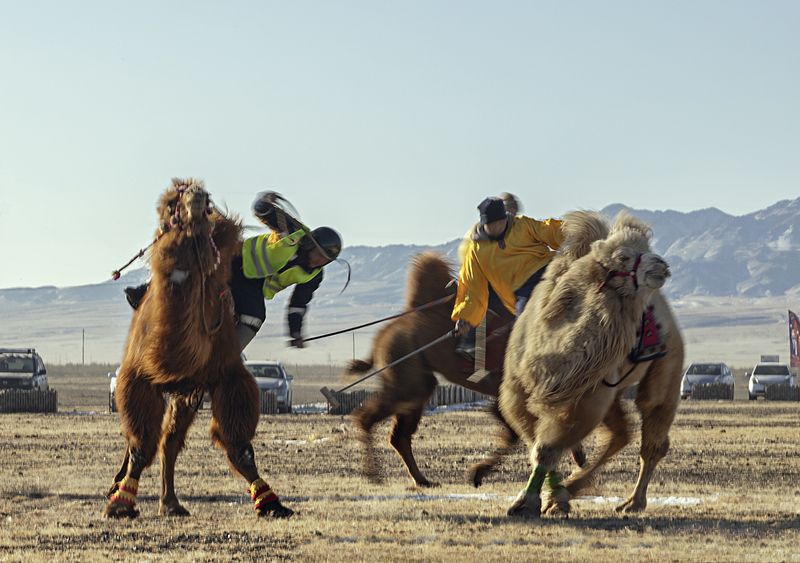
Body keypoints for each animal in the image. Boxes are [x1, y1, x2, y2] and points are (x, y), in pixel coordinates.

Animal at [104, 178, 293, 519]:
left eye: (206, 205)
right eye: (170, 205)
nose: (196, 195)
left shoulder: (226, 375)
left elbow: (240, 447)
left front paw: (271, 502)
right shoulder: (137, 379)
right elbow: (139, 447)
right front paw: (120, 503)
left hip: (188, 392)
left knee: (170, 441)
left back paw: (171, 503)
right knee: (150, 439)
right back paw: (127, 488)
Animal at [344, 252, 586, 488]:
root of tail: (384, 333)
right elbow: (517, 435)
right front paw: (476, 474)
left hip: (418, 382)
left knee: (400, 435)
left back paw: (422, 480)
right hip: (406, 378)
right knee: (368, 418)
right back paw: (373, 475)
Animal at [500, 211, 684, 519]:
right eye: (623, 257)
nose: (662, 265)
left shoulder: (586, 397)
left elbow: (546, 448)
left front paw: (533, 501)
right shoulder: (517, 392)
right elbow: (535, 443)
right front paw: (550, 497)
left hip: (665, 364)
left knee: (652, 435)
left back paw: (631, 502)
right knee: (620, 435)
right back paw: (578, 485)